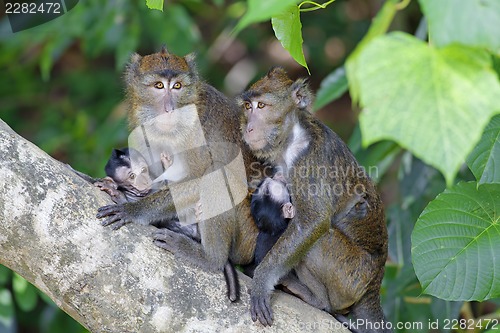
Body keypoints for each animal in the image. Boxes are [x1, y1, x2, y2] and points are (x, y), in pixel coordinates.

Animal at [238, 67, 390, 332]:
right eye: (248, 106)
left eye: (262, 106)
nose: (249, 128)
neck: (292, 137)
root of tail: (374, 284)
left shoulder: (309, 161)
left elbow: (312, 222)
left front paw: (261, 281)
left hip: (350, 278)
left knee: (320, 238)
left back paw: (319, 301)